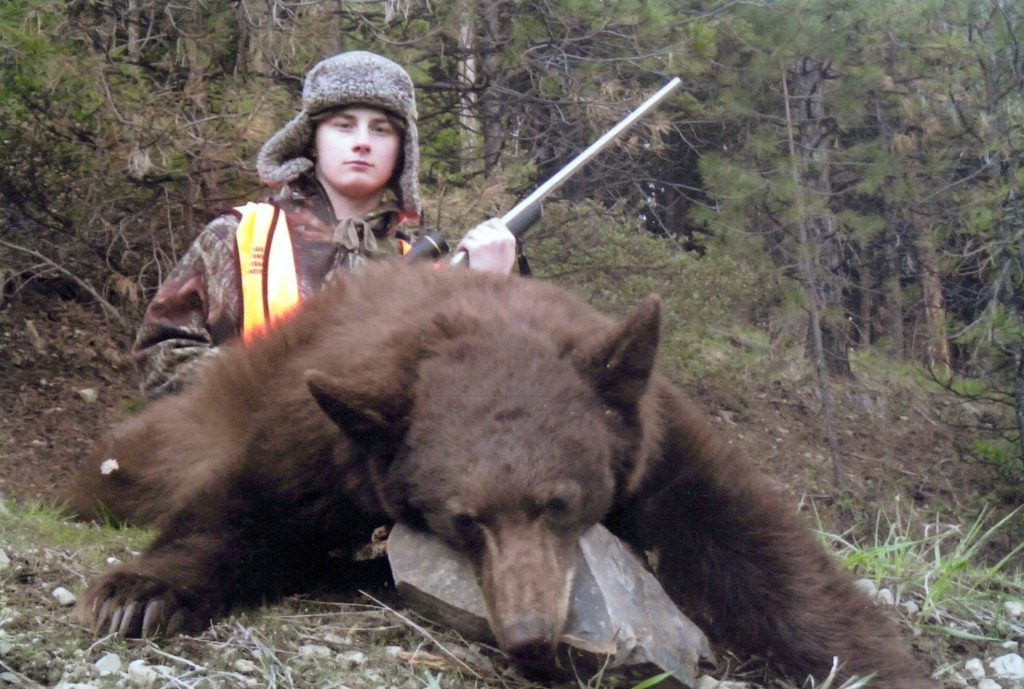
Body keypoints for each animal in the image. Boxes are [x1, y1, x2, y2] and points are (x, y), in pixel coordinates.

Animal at [69, 260, 935, 689]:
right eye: (464, 520)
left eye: (559, 503)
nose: (528, 635)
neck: (482, 321)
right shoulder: (332, 434)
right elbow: (249, 508)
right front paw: (137, 593)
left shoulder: (655, 446)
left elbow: (761, 553)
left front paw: (883, 665)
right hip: (194, 414)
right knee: (138, 462)